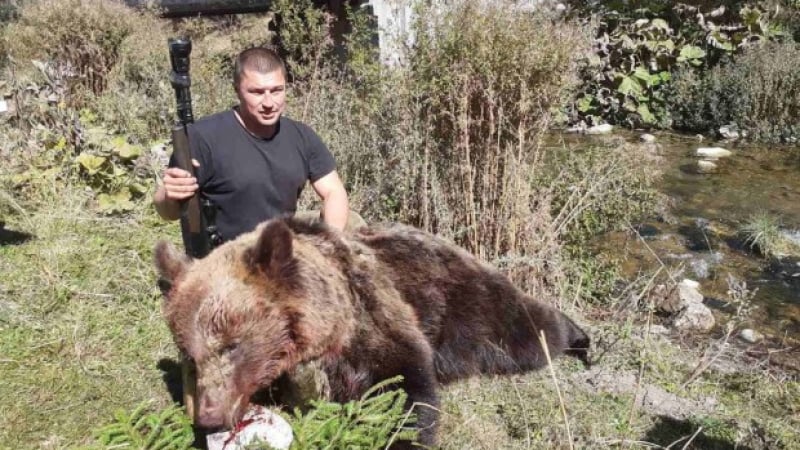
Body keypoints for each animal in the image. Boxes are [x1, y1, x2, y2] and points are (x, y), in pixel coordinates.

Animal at [155, 218, 588, 446]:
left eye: (231, 345)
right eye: (191, 356)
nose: (210, 416)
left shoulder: (373, 321)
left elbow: (407, 388)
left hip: (471, 305)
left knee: (531, 332)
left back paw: (580, 339)